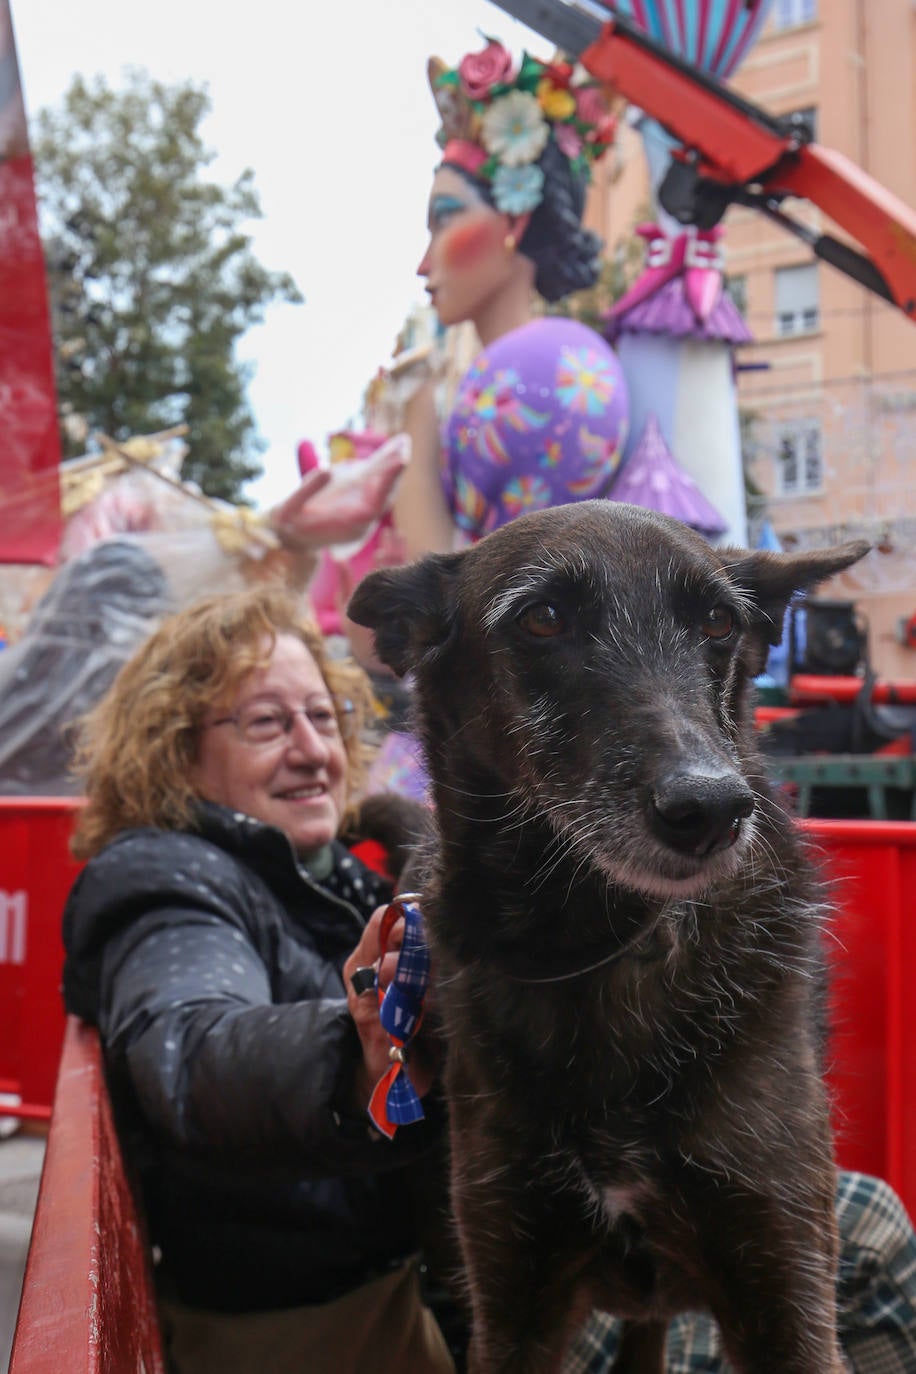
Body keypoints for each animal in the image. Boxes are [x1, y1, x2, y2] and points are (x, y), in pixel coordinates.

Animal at [348, 505, 867, 1374]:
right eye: (542, 618)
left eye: (719, 621)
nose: (711, 809)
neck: (595, 948)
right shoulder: (512, 1305)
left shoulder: (786, 1293)